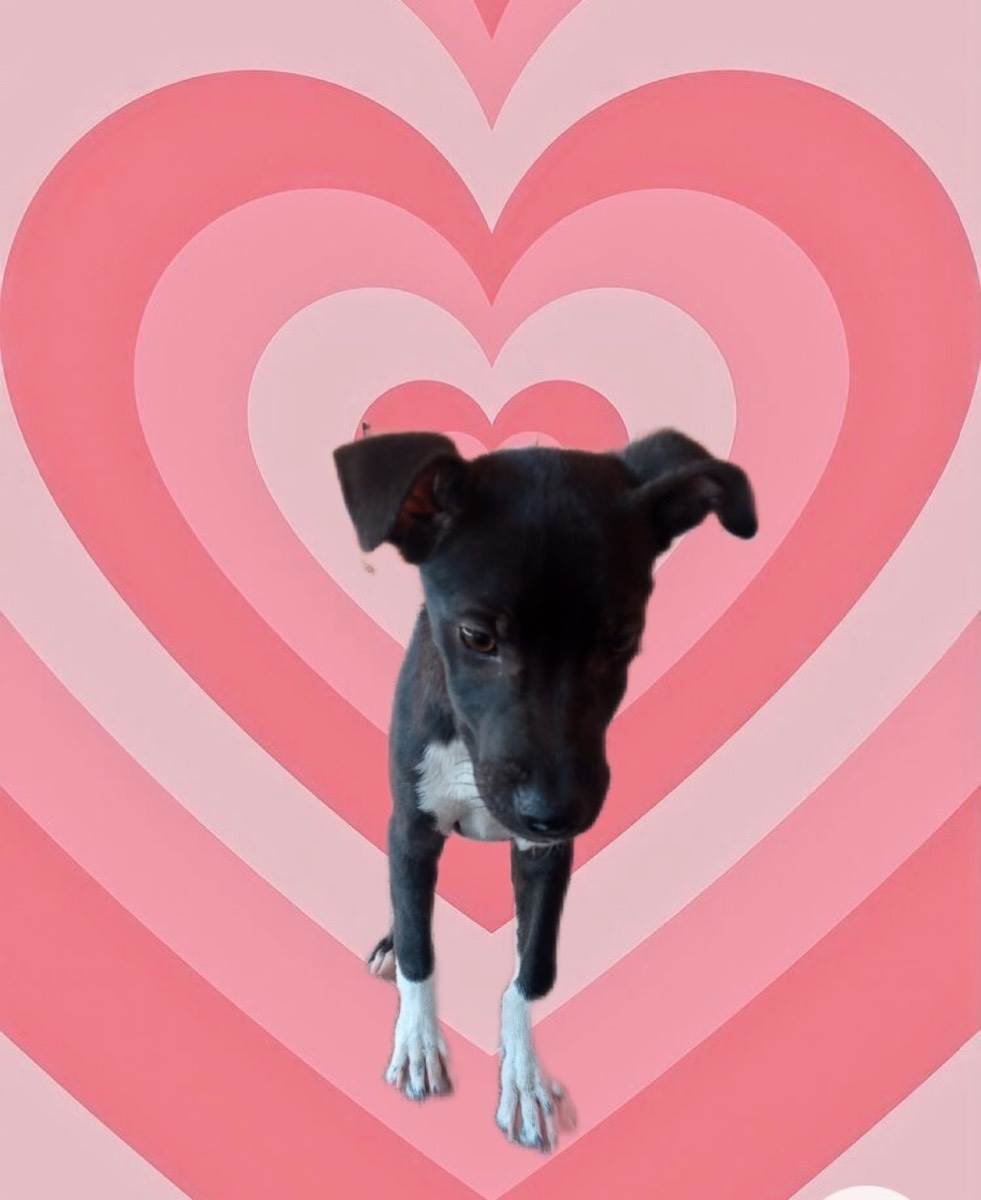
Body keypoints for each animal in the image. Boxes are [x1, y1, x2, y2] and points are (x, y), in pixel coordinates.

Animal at [333, 426, 757, 1150]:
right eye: (477, 636)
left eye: (621, 638)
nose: (554, 812)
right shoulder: (412, 826)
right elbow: (419, 946)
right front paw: (417, 1044)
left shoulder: (546, 858)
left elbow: (529, 974)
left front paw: (525, 1082)